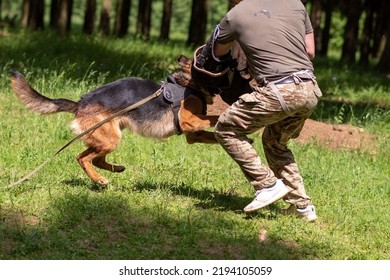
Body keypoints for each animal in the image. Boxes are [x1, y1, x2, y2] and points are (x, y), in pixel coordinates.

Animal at [10, 55, 221, 185]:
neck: (189, 83)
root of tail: (80, 104)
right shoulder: (188, 121)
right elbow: (213, 117)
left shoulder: (194, 134)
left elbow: (213, 134)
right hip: (110, 139)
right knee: (83, 158)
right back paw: (99, 179)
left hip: (106, 138)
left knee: (93, 158)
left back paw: (115, 169)